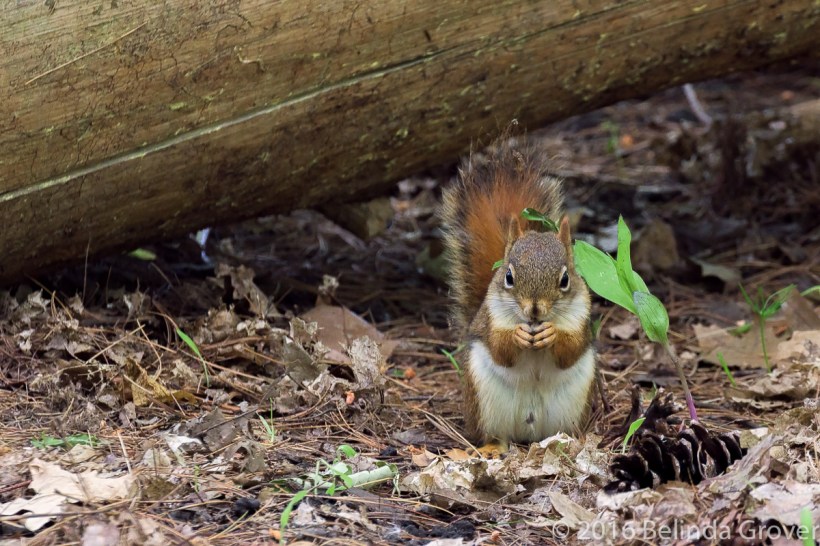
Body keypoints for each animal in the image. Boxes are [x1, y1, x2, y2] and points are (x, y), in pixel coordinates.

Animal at [440, 138, 596, 445]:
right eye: (509, 277)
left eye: (565, 279)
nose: (534, 310)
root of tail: (529, 432)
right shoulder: (491, 318)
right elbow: (500, 347)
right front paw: (518, 335)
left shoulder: (581, 319)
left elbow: (570, 350)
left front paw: (551, 334)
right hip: (484, 401)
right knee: (493, 436)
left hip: (572, 405)